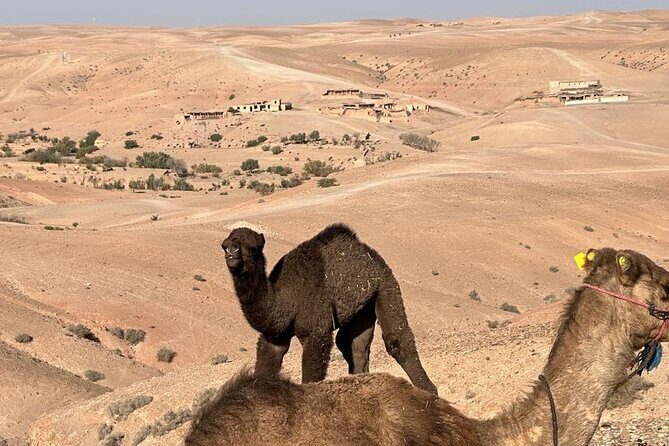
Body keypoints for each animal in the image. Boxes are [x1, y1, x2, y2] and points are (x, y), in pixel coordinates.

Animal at [220, 223, 436, 394]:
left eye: (253, 249)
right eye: (225, 244)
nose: (232, 252)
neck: (286, 300)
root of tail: (368, 252)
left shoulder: (315, 332)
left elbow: (311, 375)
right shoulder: (274, 337)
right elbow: (263, 369)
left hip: (386, 284)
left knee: (396, 339)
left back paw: (429, 392)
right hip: (362, 309)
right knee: (354, 345)